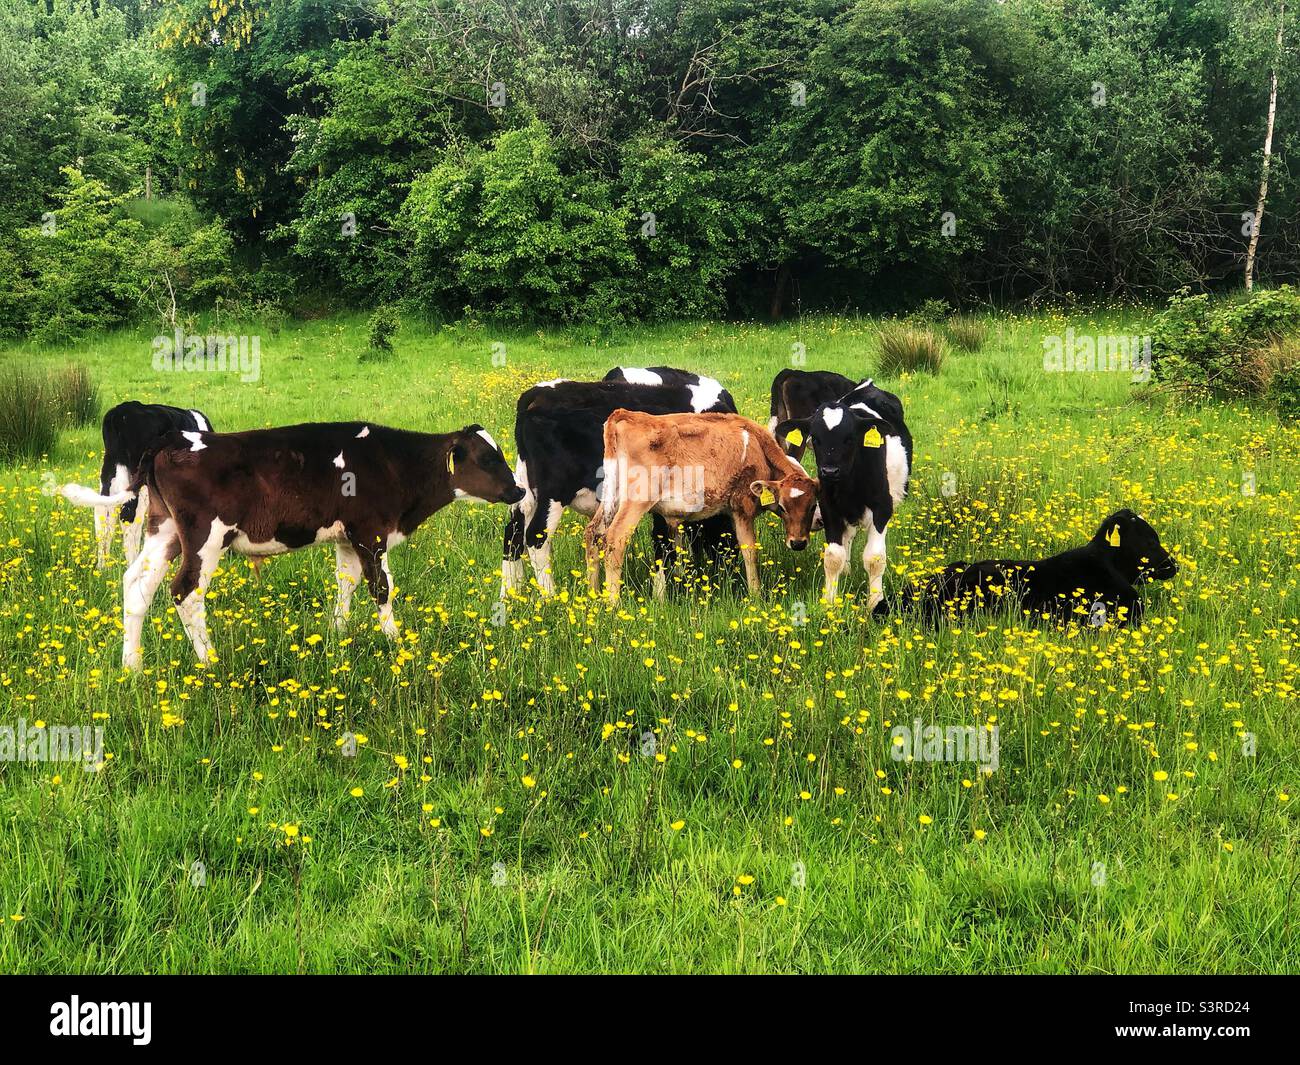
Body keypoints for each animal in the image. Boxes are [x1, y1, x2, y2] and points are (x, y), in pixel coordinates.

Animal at [57, 401, 214, 568]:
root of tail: (121, 411)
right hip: (139, 483)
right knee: (130, 519)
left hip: (110, 473)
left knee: (103, 517)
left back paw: (102, 568)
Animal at [87, 421, 523, 670]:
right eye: (487, 459)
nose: (519, 490)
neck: (392, 462)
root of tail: (171, 439)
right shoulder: (370, 533)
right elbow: (382, 588)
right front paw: (395, 642)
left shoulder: (347, 537)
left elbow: (346, 583)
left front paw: (338, 635)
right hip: (204, 537)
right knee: (185, 592)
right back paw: (210, 662)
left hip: (165, 532)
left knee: (136, 586)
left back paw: (132, 666)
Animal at [502, 375, 739, 599]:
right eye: (729, 534)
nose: (731, 579)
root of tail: (534, 393)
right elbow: (662, 541)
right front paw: (661, 596)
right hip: (556, 491)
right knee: (536, 537)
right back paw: (550, 597)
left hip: (525, 492)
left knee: (513, 534)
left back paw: (510, 594)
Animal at [584, 410, 818, 604]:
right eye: (783, 507)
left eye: (812, 505)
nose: (798, 543)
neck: (757, 445)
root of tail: (625, 414)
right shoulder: (742, 507)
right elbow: (749, 551)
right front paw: (756, 595)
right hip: (636, 500)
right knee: (615, 538)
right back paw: (613, 604)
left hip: (612, 494)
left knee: (593, 533)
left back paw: (593, 594)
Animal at [773, 379, 912, 608]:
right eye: (815, 438)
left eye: (850, 438)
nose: (829, 471)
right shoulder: (829, 507)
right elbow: (833, 556)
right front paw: (829, 603)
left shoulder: (882, 508)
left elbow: (874, 558)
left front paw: (874, 602)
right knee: (848, 536)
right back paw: (846, 571)